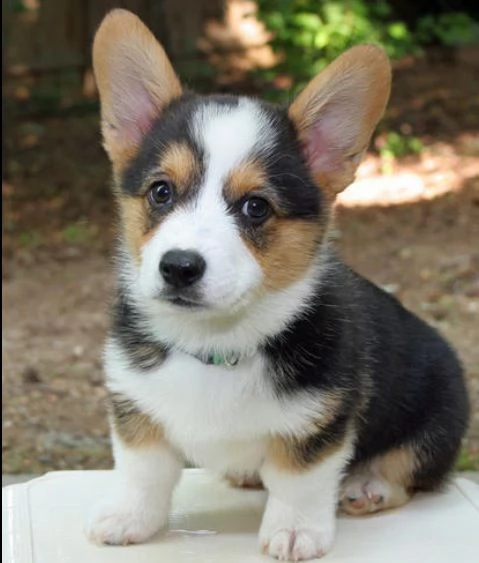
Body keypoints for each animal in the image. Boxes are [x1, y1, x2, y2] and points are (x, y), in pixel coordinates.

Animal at [85, 8, 468, 560]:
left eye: (256, 207)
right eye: (161, 192)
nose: (179, 267)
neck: (216, 343)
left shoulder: (319, 423)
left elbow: (298, 480)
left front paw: (294, 531)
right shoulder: (136, 407)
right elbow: (143, 471)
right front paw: (128, 518)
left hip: (439, 414)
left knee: (412, 471)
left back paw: (368, 487)